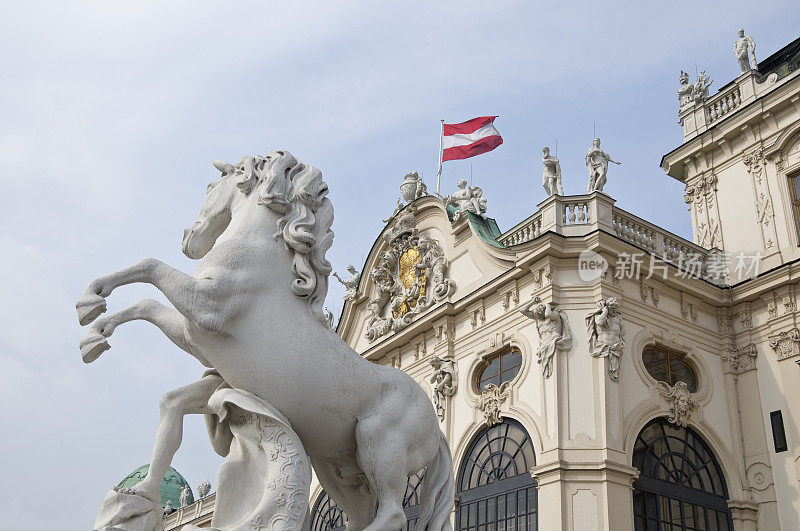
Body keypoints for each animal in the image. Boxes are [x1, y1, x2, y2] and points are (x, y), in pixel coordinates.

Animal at [78, 151, 454, 531]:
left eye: (210, 186)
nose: (187, 238)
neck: (264, 252)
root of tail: (438, 430)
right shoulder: (202, 341)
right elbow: (156, 334)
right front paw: (94, 331)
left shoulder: (207, 308)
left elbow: (151, 267)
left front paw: (91, 299)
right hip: (341, 470)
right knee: (360, 513)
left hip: (379, 443)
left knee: (392, 512)